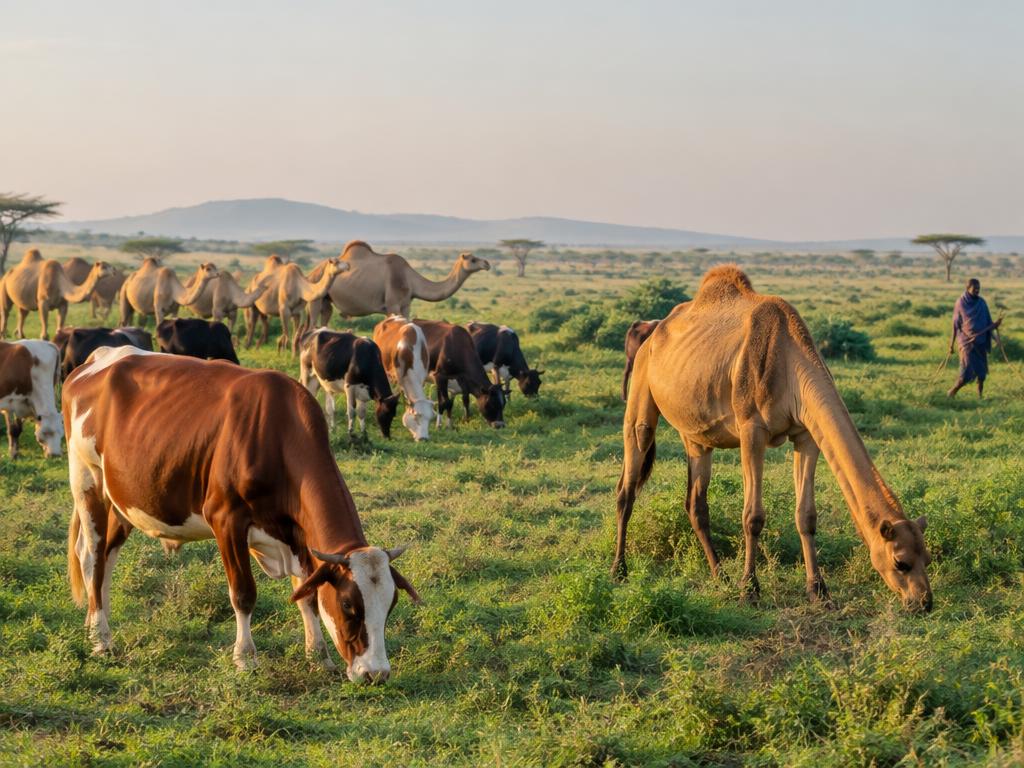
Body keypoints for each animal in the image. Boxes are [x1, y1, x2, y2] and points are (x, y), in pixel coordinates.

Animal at [63, 347, 420, 681]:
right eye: (348, 605)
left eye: (390, 604)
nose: (376, 673)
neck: (278, 432)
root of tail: (100, 357)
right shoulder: (226, 519)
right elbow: (244, 593)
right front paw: (246, 658)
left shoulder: (298, 534)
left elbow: (307, 594)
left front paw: (319, 655)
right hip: (87, 477)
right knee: (92, 555)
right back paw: (101, 638)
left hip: (122, 497)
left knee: (107, 556)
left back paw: (94, 623)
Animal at [305, 241, 490, 326]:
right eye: (473, 259)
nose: (487, 263)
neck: (410, 279)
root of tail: (310, 274)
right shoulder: (392, 304)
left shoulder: (406, 305)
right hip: (316, 297)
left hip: (326, 300)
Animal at [614, 266, 933, 612]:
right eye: (901, 562)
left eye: (928, 559)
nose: (924, 602)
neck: (789, 362)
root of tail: (652, 332)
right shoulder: (752, 429)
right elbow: (753, 516)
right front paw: (750, 589)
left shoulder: (806, 433)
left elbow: (806, 516)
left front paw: (819, 591)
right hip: (641, 394)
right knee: (628, 482)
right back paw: (619, 570)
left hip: (696, 434)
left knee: (695, 502)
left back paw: (719, 575)